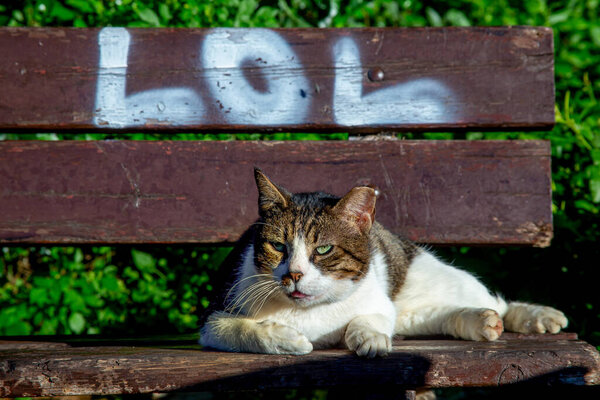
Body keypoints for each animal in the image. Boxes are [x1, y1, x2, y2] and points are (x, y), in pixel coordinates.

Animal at [200, 169, 568, 356]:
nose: (293, 274)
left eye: (323, 249)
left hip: (432, 275)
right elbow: (238, 329)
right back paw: (479, 322)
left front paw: (369, 338)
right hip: (412, 311)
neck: (310, 313)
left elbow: (367, 318)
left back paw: (532, 316)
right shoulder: (211, 319)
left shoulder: (377, 303)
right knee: (429, 315)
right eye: (278, 246)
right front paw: (285, 339)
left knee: (495, 301)